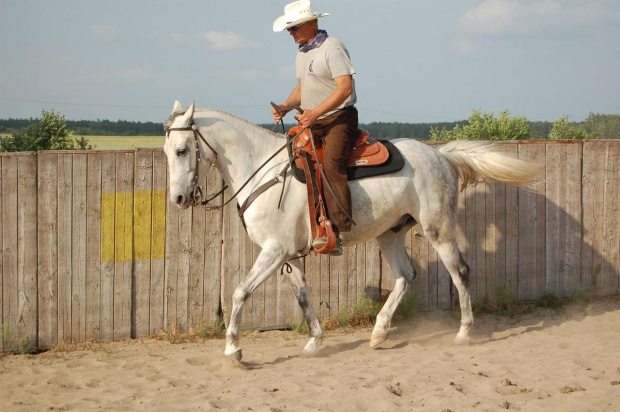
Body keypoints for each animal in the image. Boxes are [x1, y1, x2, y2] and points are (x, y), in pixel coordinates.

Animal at [162, 100, 540, 360]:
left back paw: (464, 332)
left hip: (438, 229)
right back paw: (379, 332)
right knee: (406, 276)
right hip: (390, 233)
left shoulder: (273, 251)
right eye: (166, 151)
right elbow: (303, 296)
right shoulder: (288, 255)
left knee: (459, 271)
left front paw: (233, 350)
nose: (178, 199)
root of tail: (440, 156)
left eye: (182, 150)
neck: (262, 171)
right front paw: (314, 341)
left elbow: (240, 292)